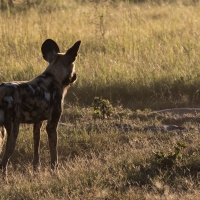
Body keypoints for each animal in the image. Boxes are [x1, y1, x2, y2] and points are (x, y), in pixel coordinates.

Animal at [0, 38, 81, 179]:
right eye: (74, 65)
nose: (75, 75)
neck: (53, 76)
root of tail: (2, 90)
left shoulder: (37, 123)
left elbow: (36, 151)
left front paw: (35, 171)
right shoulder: (52, 126)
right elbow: (54, 156)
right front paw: (55, 173)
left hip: (2, 134)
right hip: (13, 132)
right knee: (4, 163)